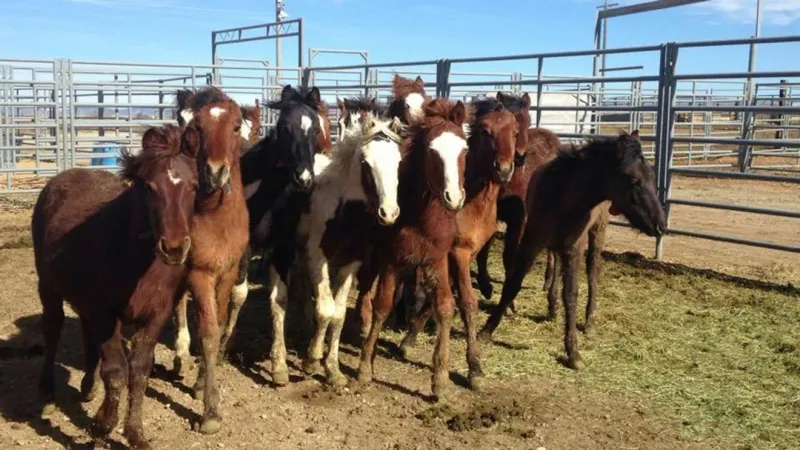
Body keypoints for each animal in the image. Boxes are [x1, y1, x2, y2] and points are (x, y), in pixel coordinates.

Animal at [32, 124, 198, 449]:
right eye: (149, 187)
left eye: (194, 186)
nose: (174, 248)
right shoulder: (106, 314)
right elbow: (116, 371)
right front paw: (101, 424)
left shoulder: (156, 315)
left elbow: (140, 370)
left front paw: (135, 433)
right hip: (49, 287)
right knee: (53, 328)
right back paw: (46, 388)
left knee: (86, 335)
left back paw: (87, 387)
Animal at [294, 113, 407, 387]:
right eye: (366, 162)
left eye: (398, 161)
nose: (389, 213)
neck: (344, 212)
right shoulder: (318, 257)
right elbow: (325, 309)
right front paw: (311, 360)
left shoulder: (350, 263)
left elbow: (338, 315)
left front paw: (333, 369)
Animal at [357, 98, 469, 399]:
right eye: (432, 151)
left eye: (465, 149)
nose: (454, 198)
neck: (421, 219)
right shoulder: (391, 260)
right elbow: (382, 304)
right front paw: (364, 367)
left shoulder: (436, 260)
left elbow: (445, 307)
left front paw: (440, 379)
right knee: (365, 286)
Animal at [396, 98, 518, 390]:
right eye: (485, 130)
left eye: (516, 132)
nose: (504, 170)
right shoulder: (457, 253)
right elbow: (467, 303)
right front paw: (474, 368)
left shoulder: (463, 254)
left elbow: (445, 297)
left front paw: (410, 339)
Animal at [479, 131, 667, 370]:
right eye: (635, 180)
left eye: (652, 176)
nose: (661, 225)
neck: (564, 197)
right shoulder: (532, 240)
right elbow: (513, 283)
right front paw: (486, 330)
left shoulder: (574, 247)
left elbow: (571, 293)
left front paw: (573, 352)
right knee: (557, 265)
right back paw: (553, 306)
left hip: (597, 231)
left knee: (593, 272)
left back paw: (589, 322)